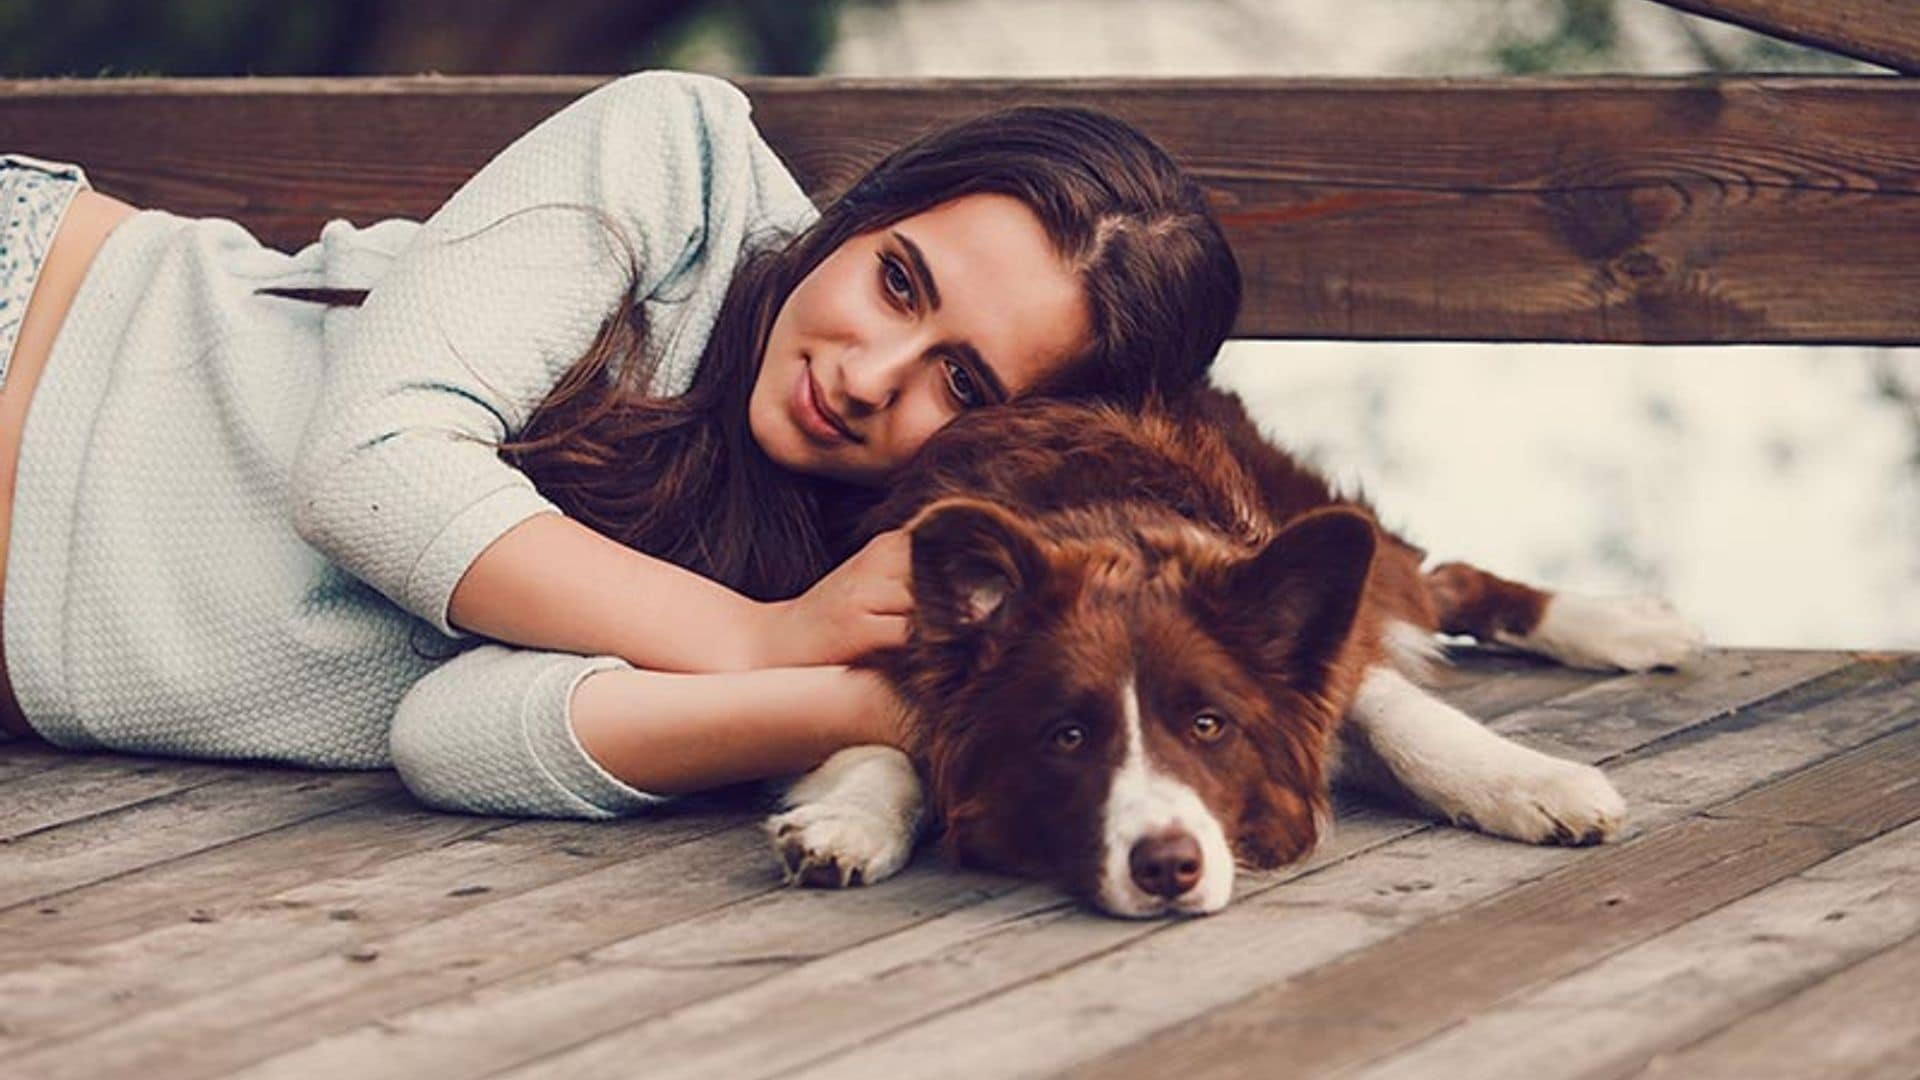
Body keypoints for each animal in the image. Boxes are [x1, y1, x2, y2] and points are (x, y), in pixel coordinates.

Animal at [764, 384, 1697, 907]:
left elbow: (1407, 721)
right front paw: (849, 821)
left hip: (1330, 532)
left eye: (1208, 725)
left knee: (1442, 578)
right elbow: (882, 748)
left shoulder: (1314, 637)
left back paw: (1625, 623)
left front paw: (1534, 783)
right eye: (1068, 736)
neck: (1101, 528)